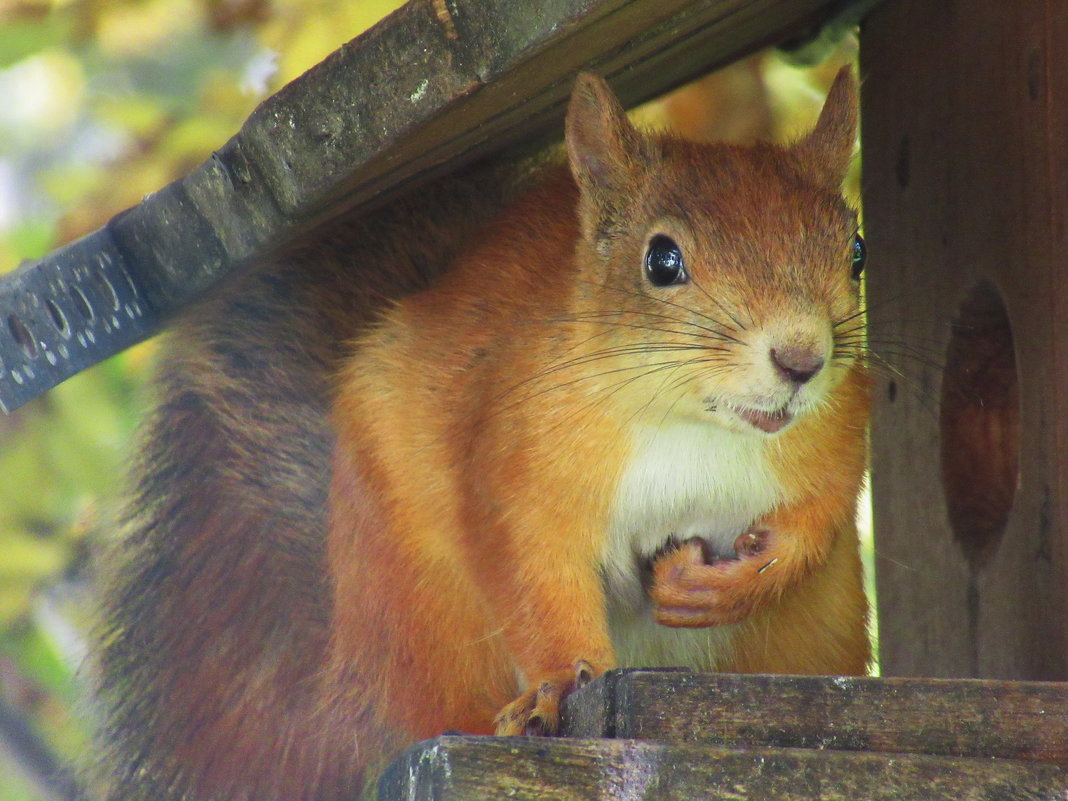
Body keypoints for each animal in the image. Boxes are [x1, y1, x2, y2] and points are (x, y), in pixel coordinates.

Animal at [96, 68, 871, 801]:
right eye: (661, 260)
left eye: (858, 249)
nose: (801, 359)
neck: (696, 424)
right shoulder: (516, 460)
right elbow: (532, 572)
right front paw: (561, 681)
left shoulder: (839, 434)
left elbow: (819, 519)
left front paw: (727, 584)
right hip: (424, 618)